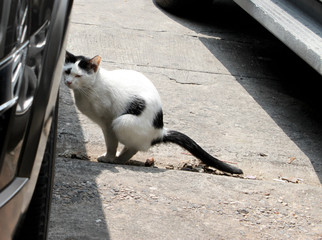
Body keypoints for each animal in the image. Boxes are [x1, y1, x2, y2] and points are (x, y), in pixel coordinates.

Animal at [63, 51, 243, 174]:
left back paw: (118, 159)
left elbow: (111, 144)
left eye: (78, 75)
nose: (68, 82)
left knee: (136, 147)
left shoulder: (108, 123)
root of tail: (160, 131)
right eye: (67, 71)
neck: (88, 89)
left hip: (121, 122)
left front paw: (108, 157)